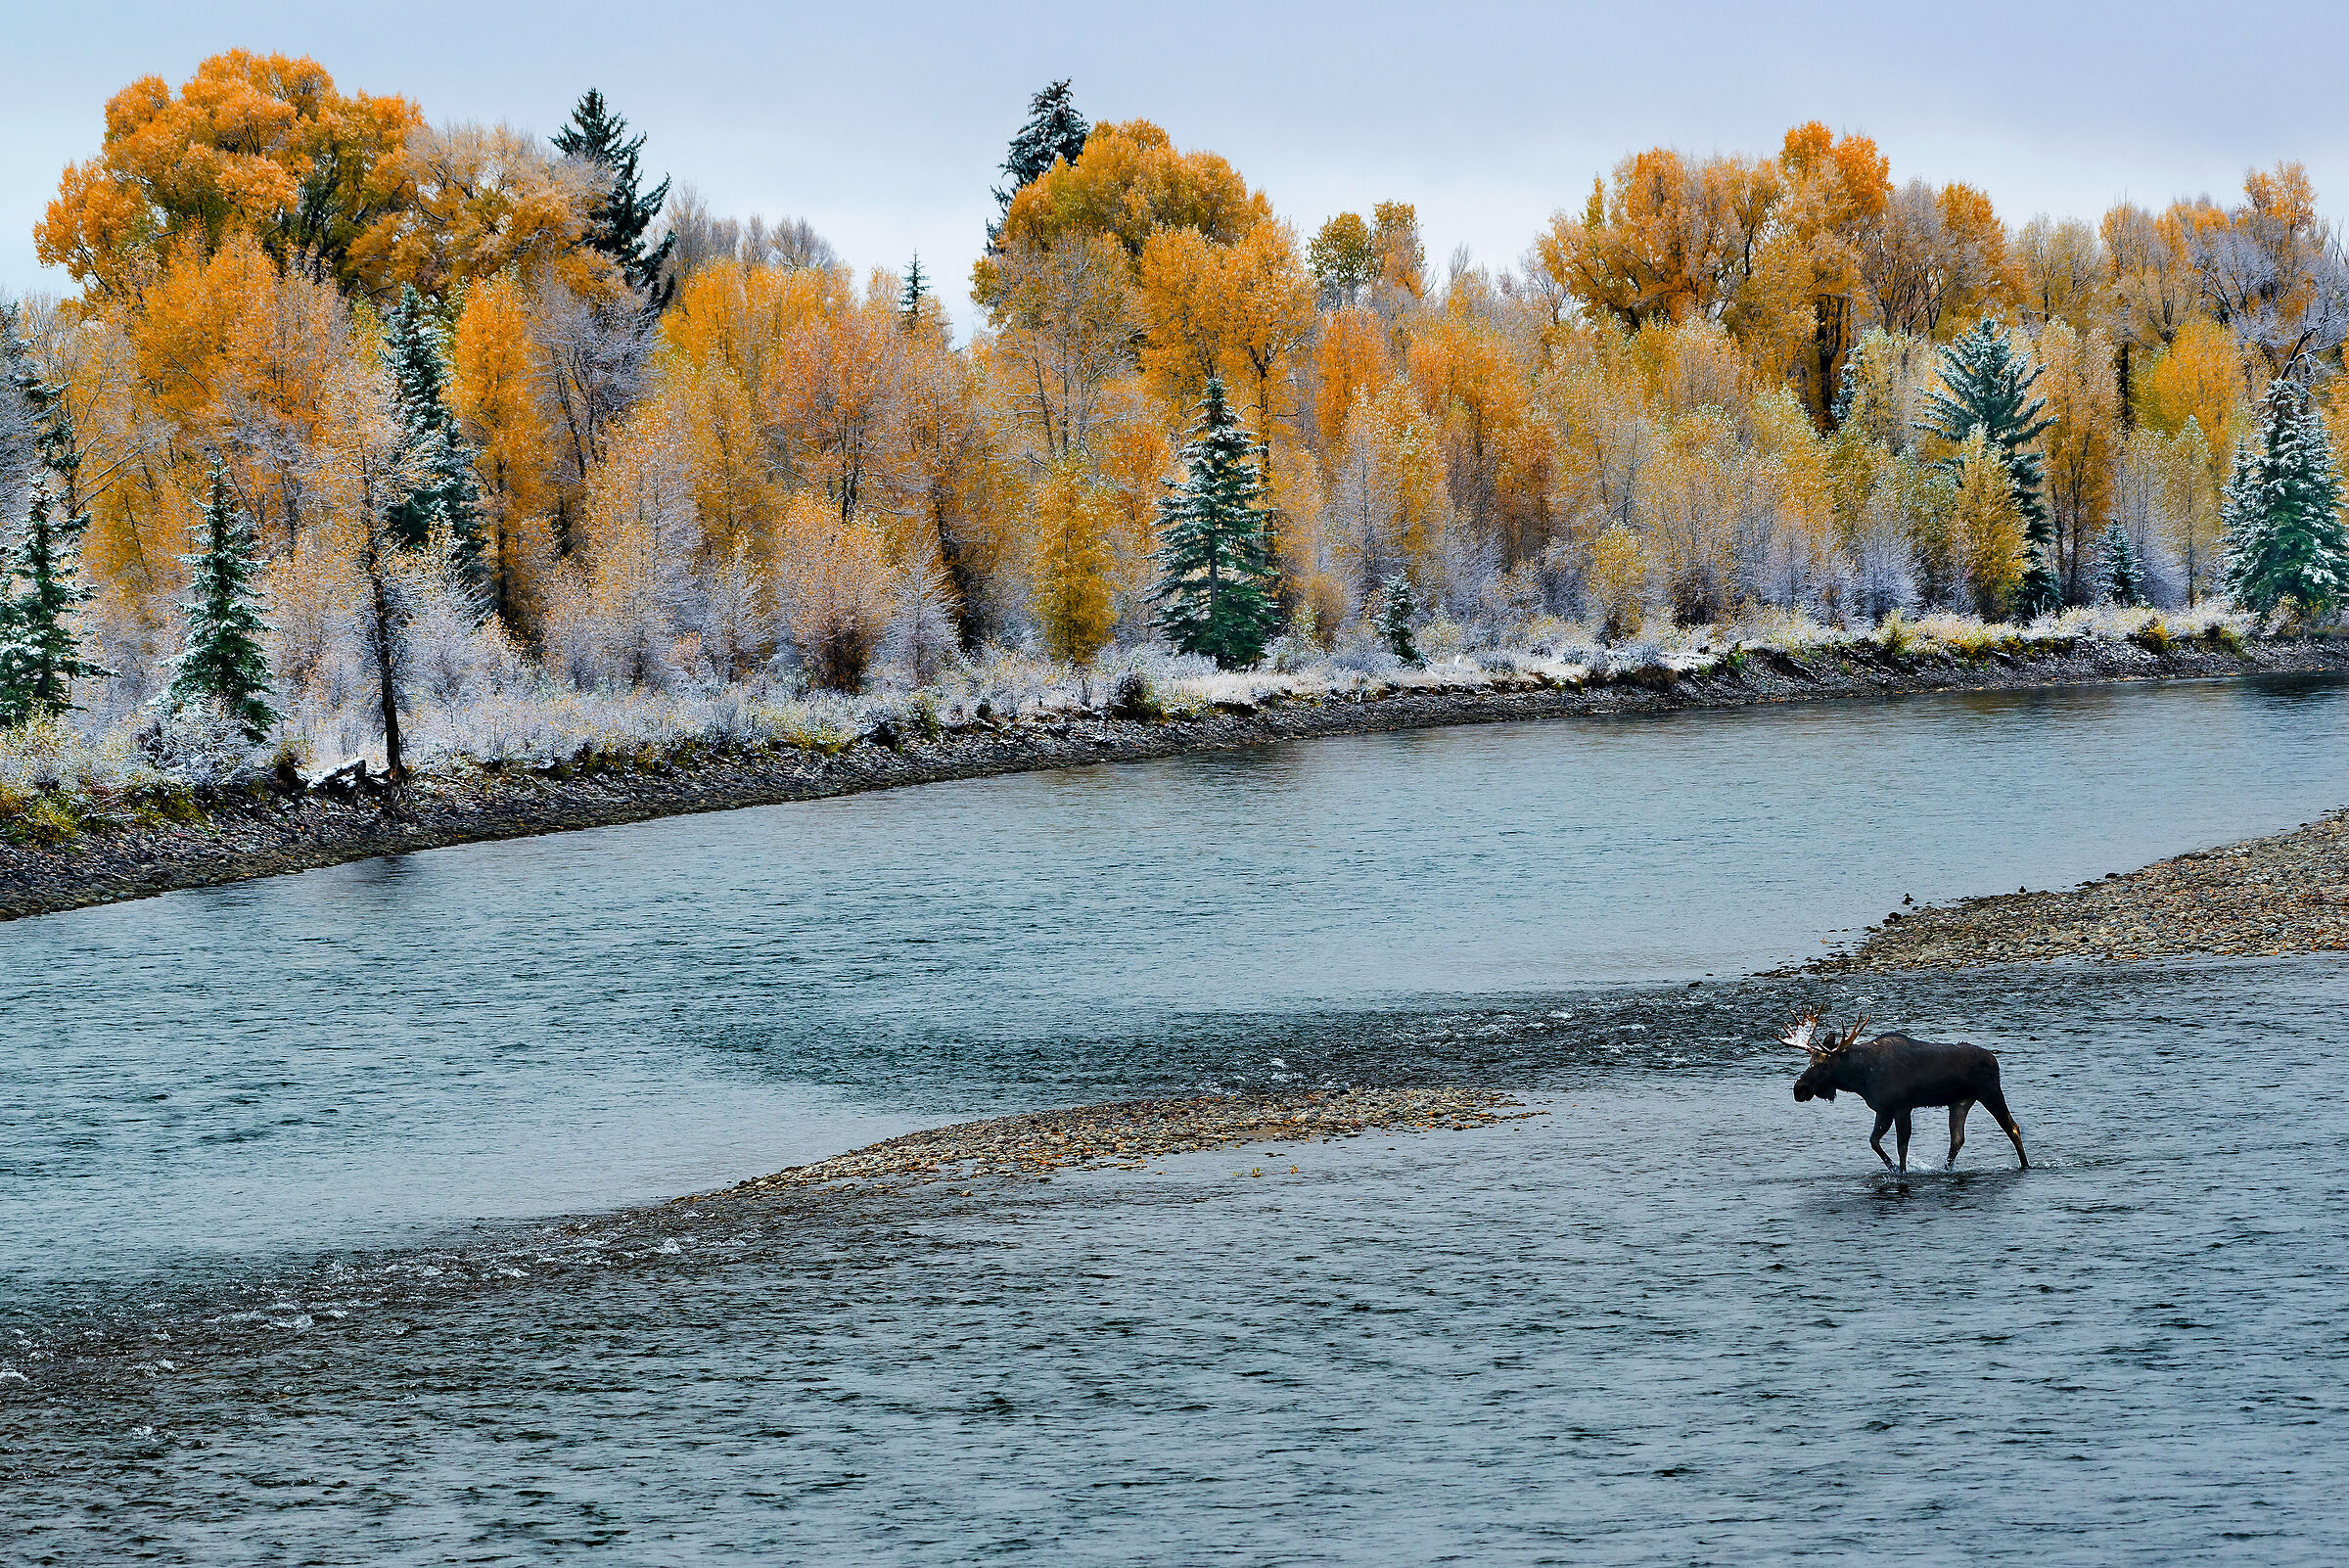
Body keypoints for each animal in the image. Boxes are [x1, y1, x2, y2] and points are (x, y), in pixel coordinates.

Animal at [1779, 1013, 2027, 1173]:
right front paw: (1893, 1168)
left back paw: (2025, 1165)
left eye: (1823, 1065)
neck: (1861, 1078)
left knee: (2013, 1127)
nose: (1799, 1089)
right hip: (1960, 1102)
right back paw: (1945, 1169)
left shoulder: (1902, 1107)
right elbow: (1874, 1141)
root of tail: (1995, 1060)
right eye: (1809, 1061)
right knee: (1957, 1139)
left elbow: (1902, 1147)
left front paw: (1902, 1172)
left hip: (1990, 1092)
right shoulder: (1883, 1110)